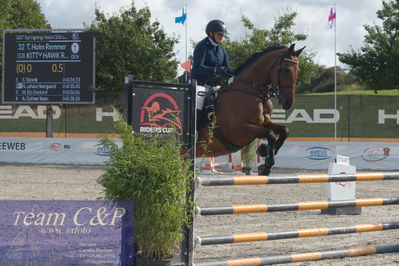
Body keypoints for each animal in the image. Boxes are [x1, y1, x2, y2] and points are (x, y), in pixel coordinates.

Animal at [197, 43, 306, 176]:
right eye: (286, 70)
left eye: (298, 71)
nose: (288, 103)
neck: (253, 93)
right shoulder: (238, 130)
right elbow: (270, 134)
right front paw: (266, 163)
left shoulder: (263, 123)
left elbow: (284, 130)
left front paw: (266, 152)